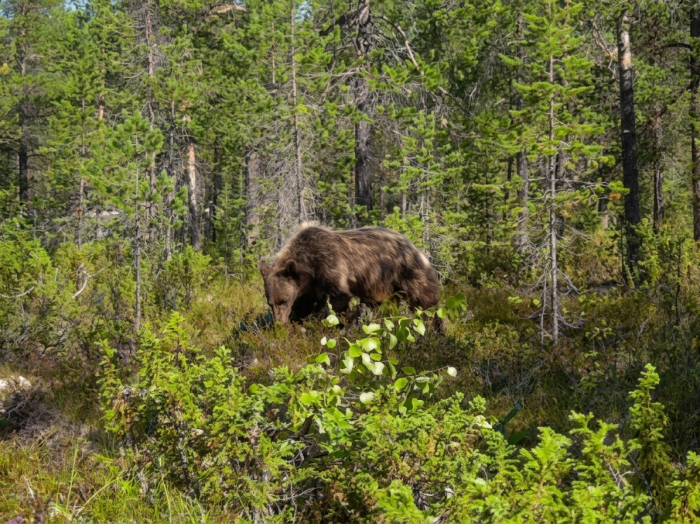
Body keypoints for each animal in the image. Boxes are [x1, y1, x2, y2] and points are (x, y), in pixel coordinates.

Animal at [257, 225, 441, 326]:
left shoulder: (332, 268)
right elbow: (306, 306)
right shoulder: (308, 288)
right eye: (270, 303)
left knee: (426, 303)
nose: (279, 323)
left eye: (283, 300)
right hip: (382, 286)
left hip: (408, 273)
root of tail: (417, 248)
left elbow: (338, 299)